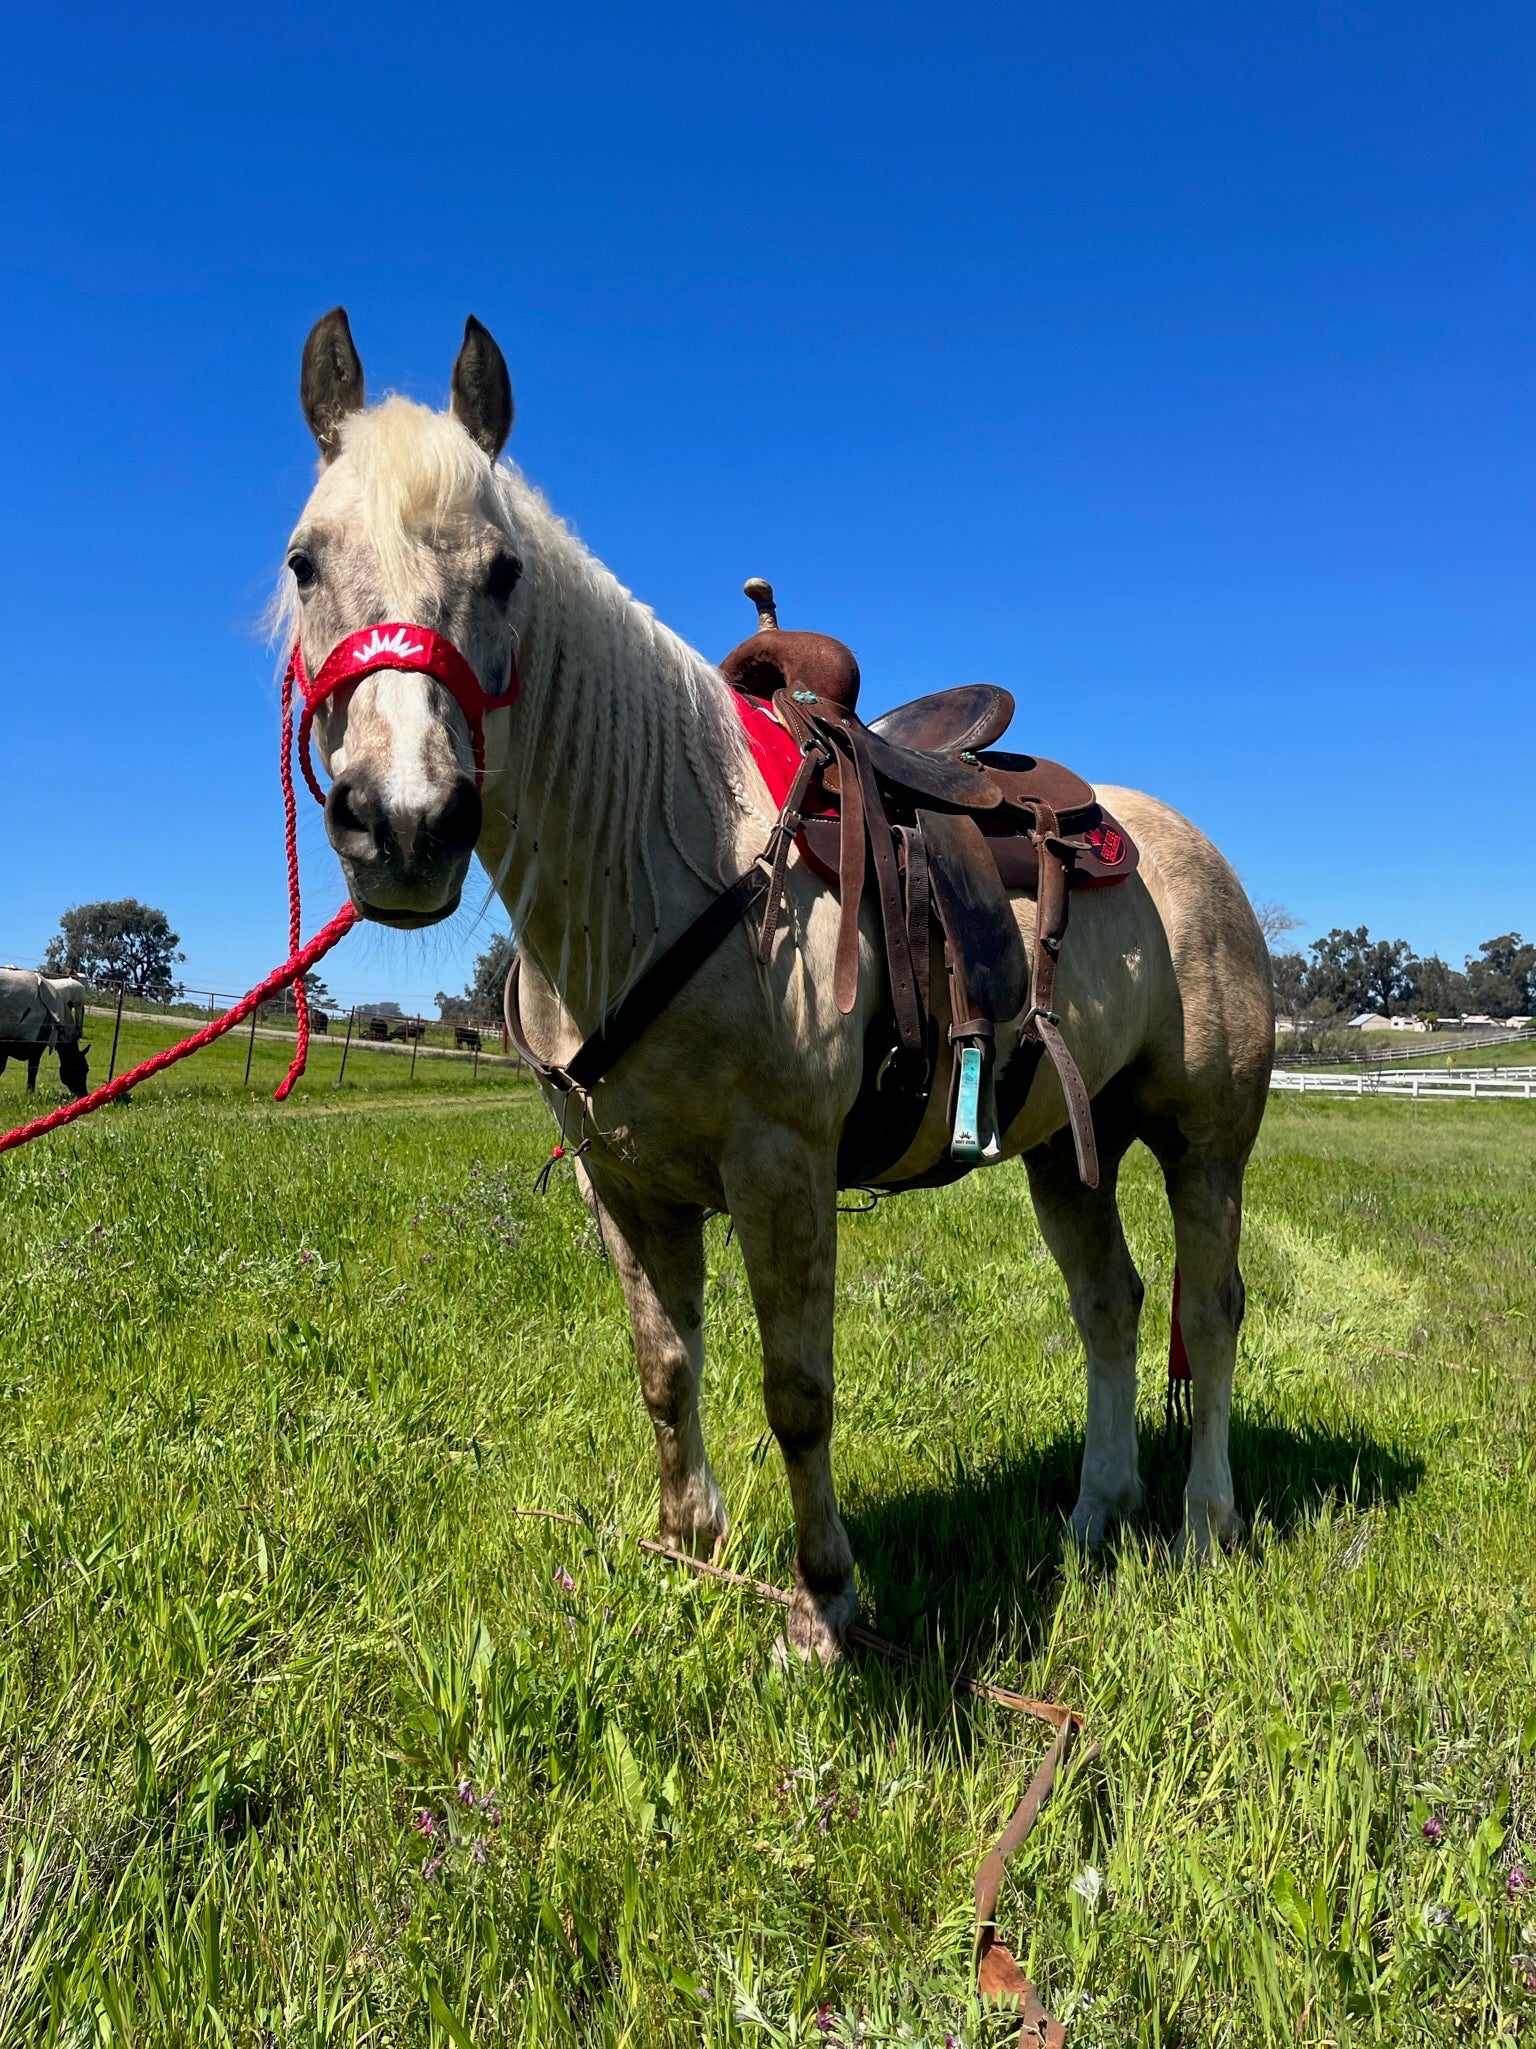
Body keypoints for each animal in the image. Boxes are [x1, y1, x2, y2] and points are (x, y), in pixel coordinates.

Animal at [276, 308, 1274, 1660]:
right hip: (1072, 1144)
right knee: (1111, 1305)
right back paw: (1094, 1514)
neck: (657, 860)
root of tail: (1192, 850)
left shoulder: (780, 1170)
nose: (403, 824)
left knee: (1209, 1312)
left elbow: (797, 1392)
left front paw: (822, 1605)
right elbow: (665, 1372)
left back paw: (1202, 1527)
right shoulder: (624, 1185)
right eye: (305, 563)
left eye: (503, 572)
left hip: (1203, 1138)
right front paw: (686, 1556)